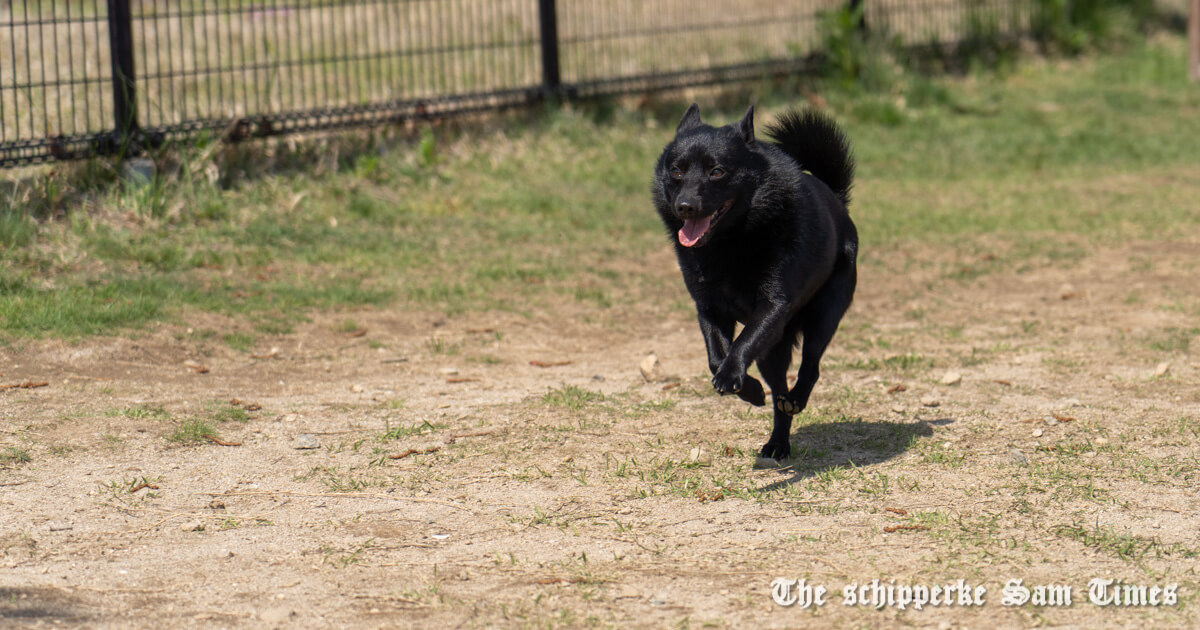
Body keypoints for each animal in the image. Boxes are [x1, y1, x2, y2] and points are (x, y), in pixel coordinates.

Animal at [652, 102, 859, 456]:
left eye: (717, 171)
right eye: (677, 171)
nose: (685, 207)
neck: (731, 241)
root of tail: (836, 198)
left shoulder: (773, 306)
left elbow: (742, 343)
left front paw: (733, 377)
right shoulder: (708, 309)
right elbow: (716, 356)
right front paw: (748, 389)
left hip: (823, 316)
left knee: (811, 365)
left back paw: (797, 399)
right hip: (772, 350)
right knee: (779, 396)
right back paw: (778, 442)